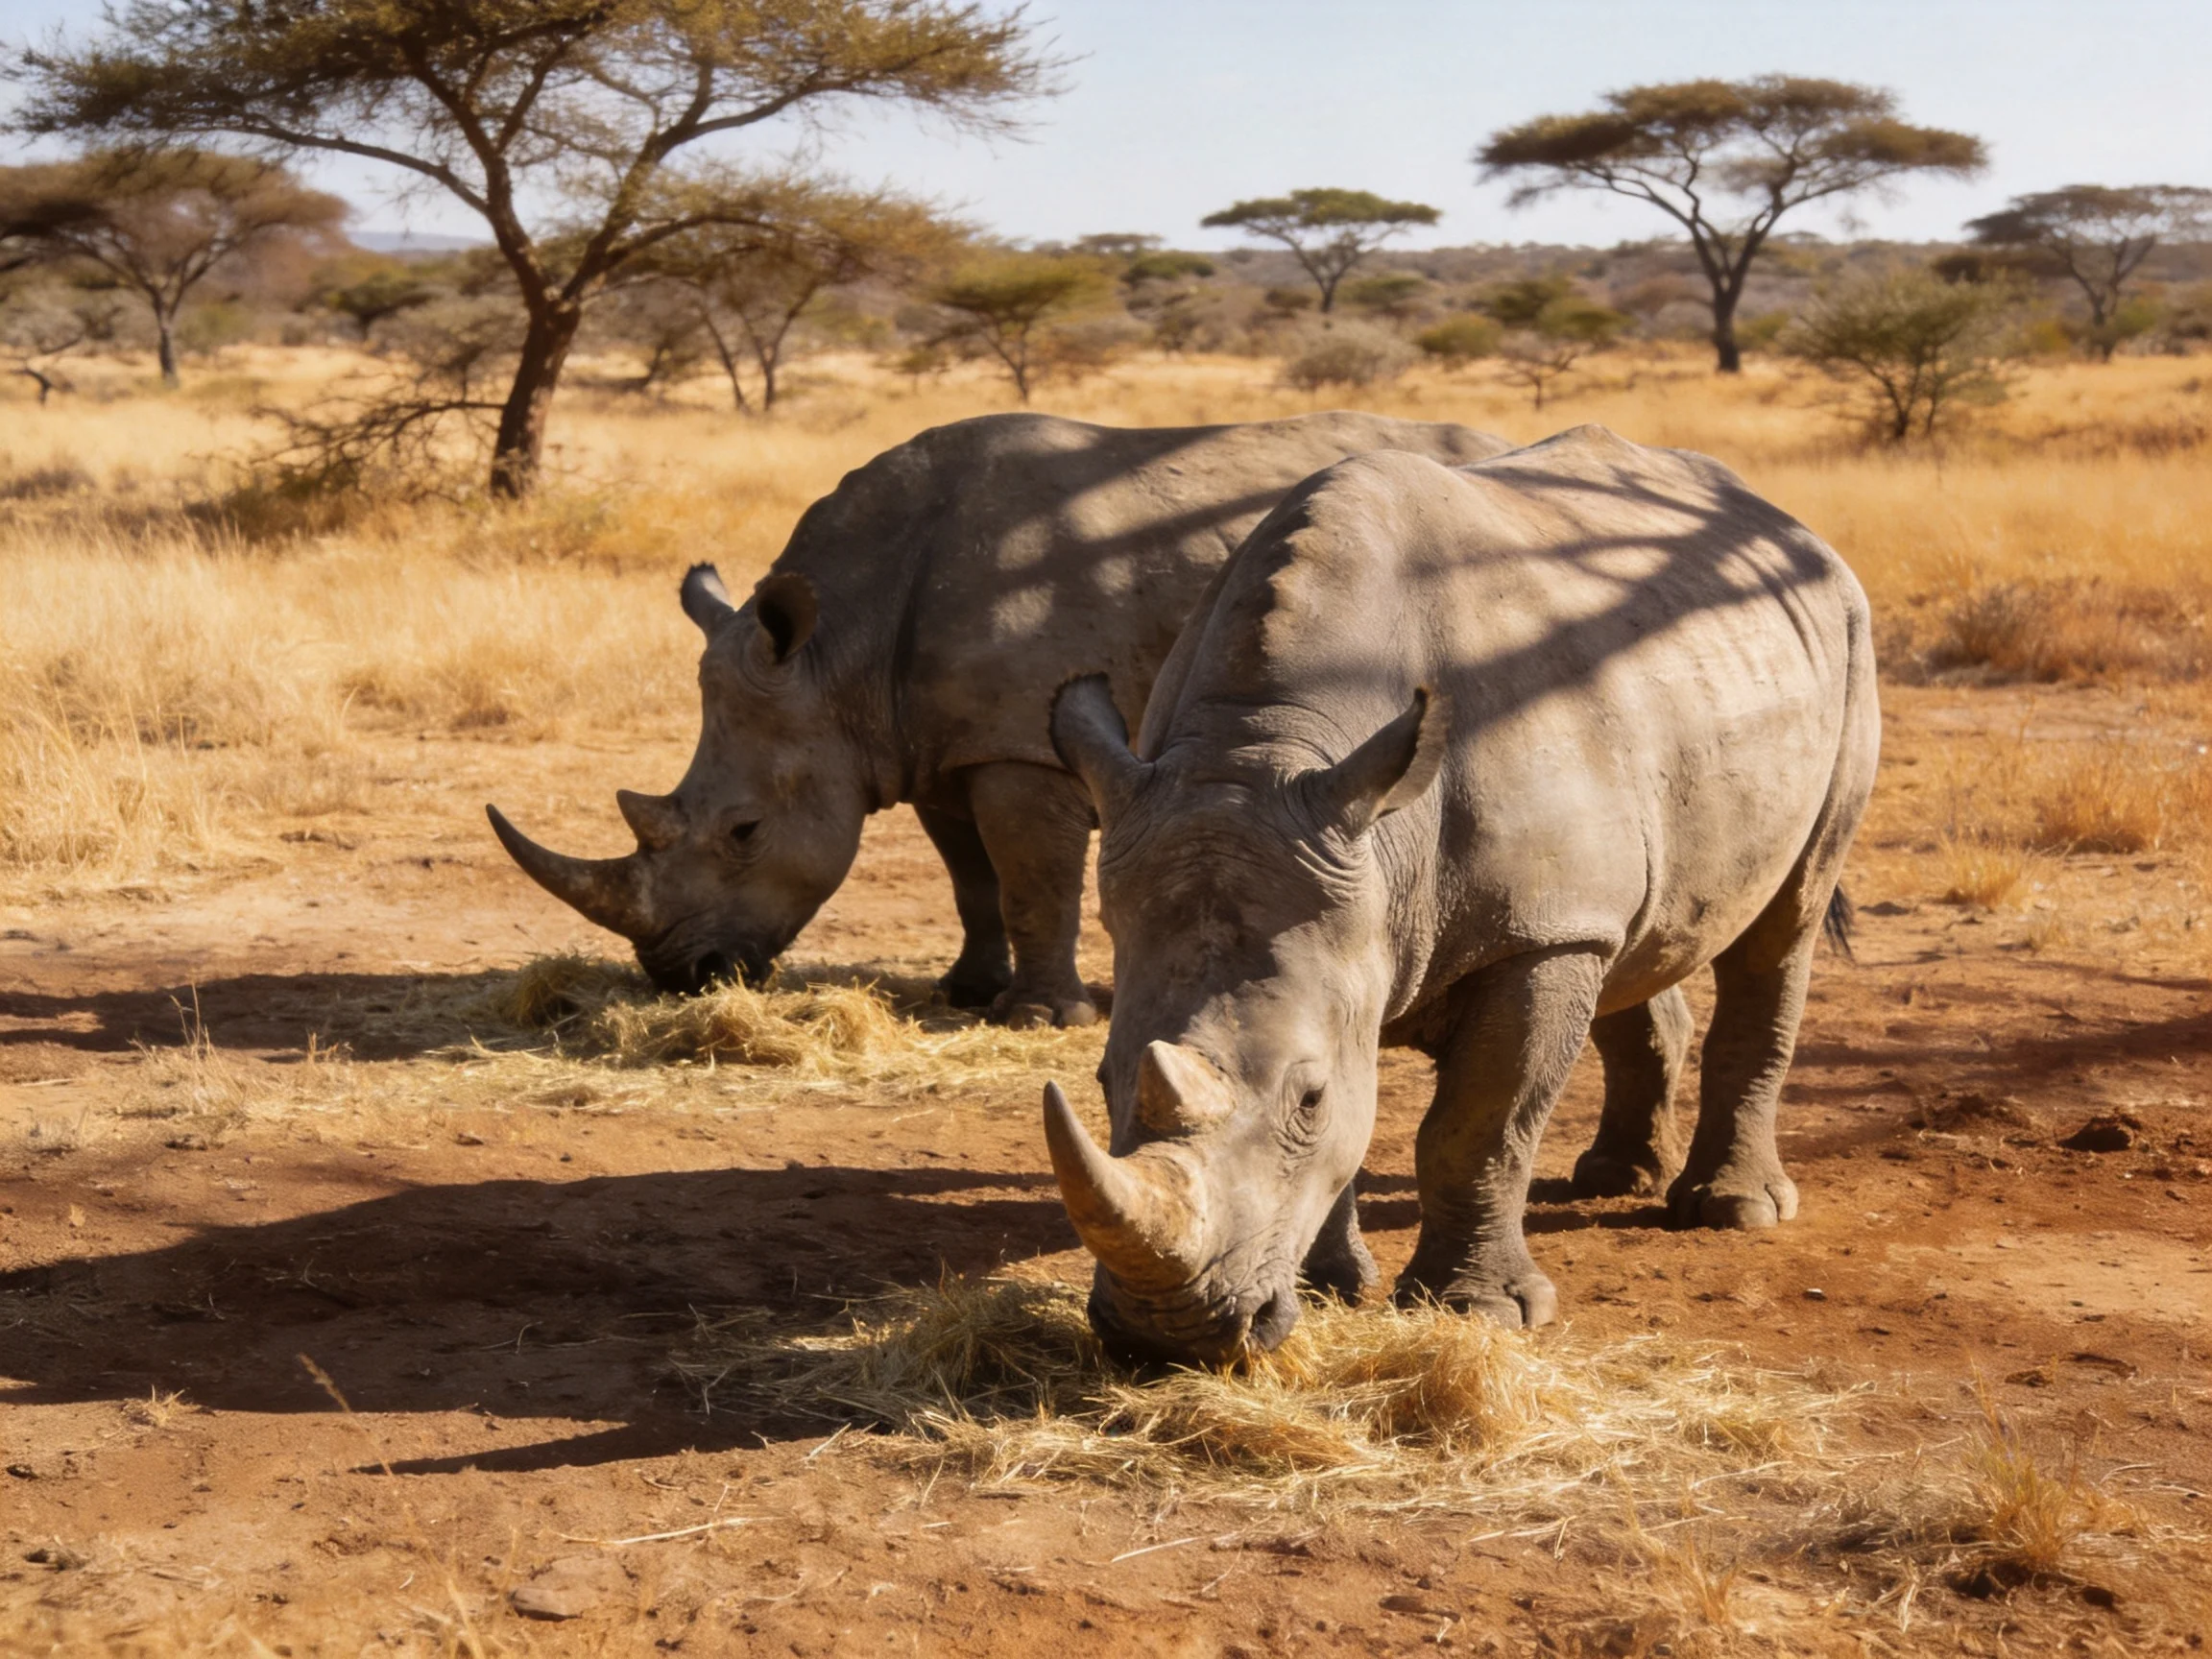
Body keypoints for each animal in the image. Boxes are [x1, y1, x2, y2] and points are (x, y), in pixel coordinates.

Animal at [1044, 427, 1879, 1364]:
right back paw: (1611, 1177)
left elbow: (1479, 1123)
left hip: (1848, 639)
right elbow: (1365, 1115)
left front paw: (1477, 1313)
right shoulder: (1386, 902)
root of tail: (1779, 517)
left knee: (1784, 922)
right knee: (1635, 937)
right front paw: (1331, 1289)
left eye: (1307, 1098)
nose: (1170, 1338)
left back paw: (1729, 1211)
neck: (1265, 748)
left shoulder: (1535, 933)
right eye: (1104, 1079)